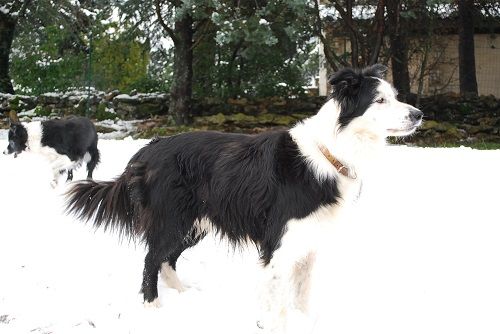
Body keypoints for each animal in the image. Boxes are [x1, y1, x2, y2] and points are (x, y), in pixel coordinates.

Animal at [63, 65, 422, 332]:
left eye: (395, 97)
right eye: (379, 100)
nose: (418, 114)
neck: (330, 151)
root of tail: (149, 148)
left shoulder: (310, 242)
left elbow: (303, 294)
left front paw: (306, 322)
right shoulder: (278, 243)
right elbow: (278, 303)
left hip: (195, 223)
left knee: (167, 258)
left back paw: (182, 294)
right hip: (173, 218)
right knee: (152, 258)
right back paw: (153, 307)